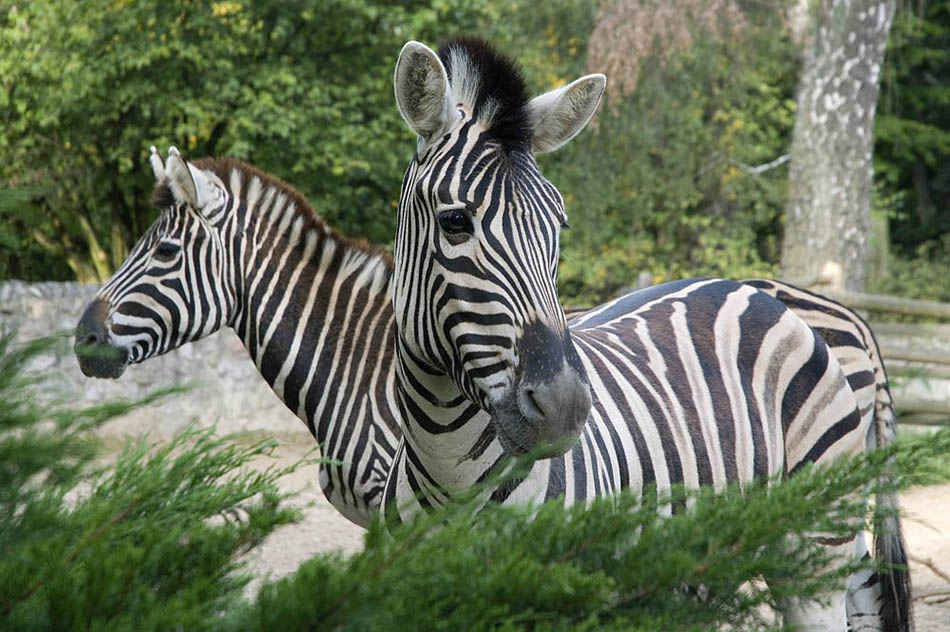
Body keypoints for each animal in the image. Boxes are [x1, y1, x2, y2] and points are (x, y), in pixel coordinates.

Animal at [384, 36, 911, 631]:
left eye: (558, 227)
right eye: (454, 222)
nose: (566, 407)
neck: (449, 473)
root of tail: (757, 294)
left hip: (812, 548)